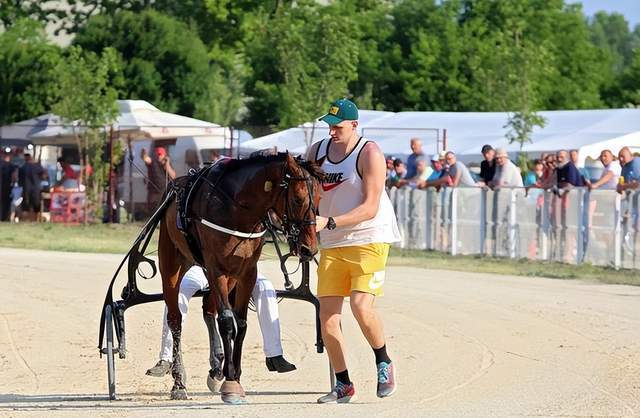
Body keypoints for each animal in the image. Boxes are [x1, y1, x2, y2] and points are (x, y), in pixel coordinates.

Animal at [158, 152, 322, 404]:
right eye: (297, 199)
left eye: (320, 198)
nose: (309, 248)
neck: (237, 209)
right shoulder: (216, 269)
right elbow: (227, 321)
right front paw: (230, 383)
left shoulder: (246, 272)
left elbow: (241, 323)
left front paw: (233, 375)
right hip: (172, 261)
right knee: (176, 319)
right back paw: (179, 382)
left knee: (209, 310)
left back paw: (215, 368)